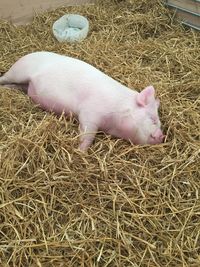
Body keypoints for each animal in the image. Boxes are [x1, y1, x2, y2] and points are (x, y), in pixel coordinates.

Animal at [0, 50, 164, 151]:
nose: (162, 136)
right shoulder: (89, 112)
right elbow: (87, 134)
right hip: (18, 72)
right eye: (153, 119)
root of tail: (27, 55)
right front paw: (80, 151)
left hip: (23, 85)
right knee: (4, 77)